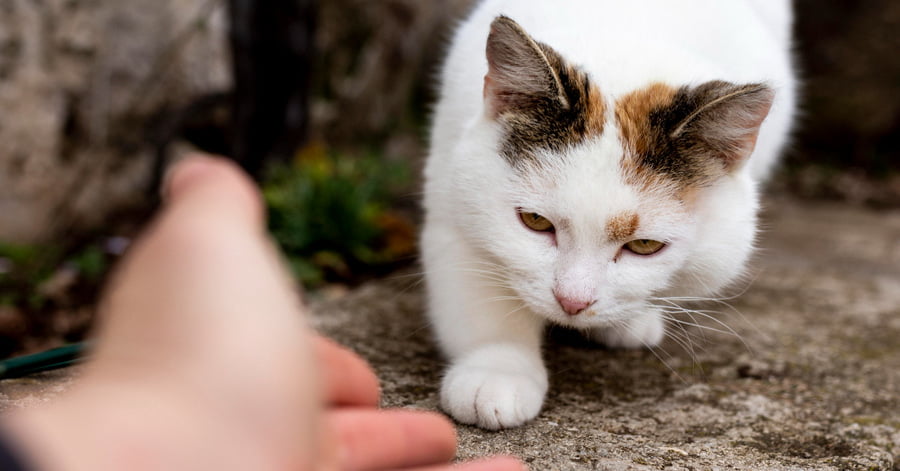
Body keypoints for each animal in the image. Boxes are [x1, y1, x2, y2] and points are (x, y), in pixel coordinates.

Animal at [422, 0, 796, 432]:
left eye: (645, 245)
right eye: (535, 221)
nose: (572, 303)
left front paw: (629, 319)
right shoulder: (451, 199)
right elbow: (482, 300)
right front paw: (497, 371)